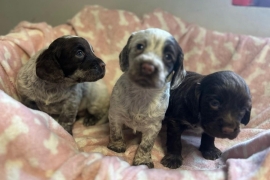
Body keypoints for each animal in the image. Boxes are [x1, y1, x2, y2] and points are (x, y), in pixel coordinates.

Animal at [106, 27, 187, 168]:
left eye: (168, 56)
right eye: (140, 46)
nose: (148, 67)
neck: (142, 93)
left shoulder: (154, 126)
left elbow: (146, 145)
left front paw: (142, 161)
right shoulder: (115, 115)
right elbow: (116, 132)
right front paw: (116, 146)